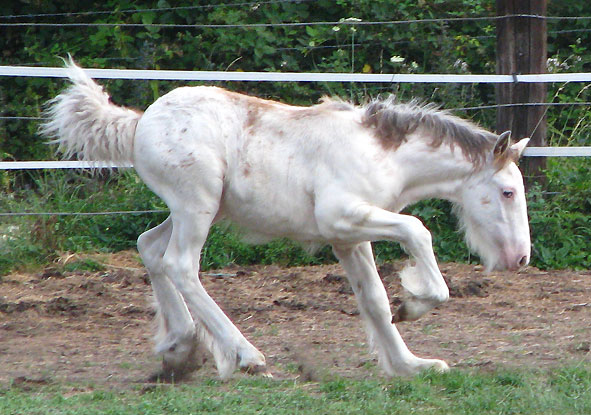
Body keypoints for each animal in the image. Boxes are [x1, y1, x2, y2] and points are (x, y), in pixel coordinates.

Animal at [41, 60, 532, 382]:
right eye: (507, 192)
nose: (521, 258)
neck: (382, 154)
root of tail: (140, 122)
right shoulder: (343, 218)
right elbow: (417, 231)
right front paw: (415, 303)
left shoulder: (348, 236)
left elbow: (373, 299)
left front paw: (411, 365)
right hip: (196, 204)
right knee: (180, 264)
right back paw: (245, 356)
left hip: (197, 208)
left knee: (150, 247)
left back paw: (180, 349)